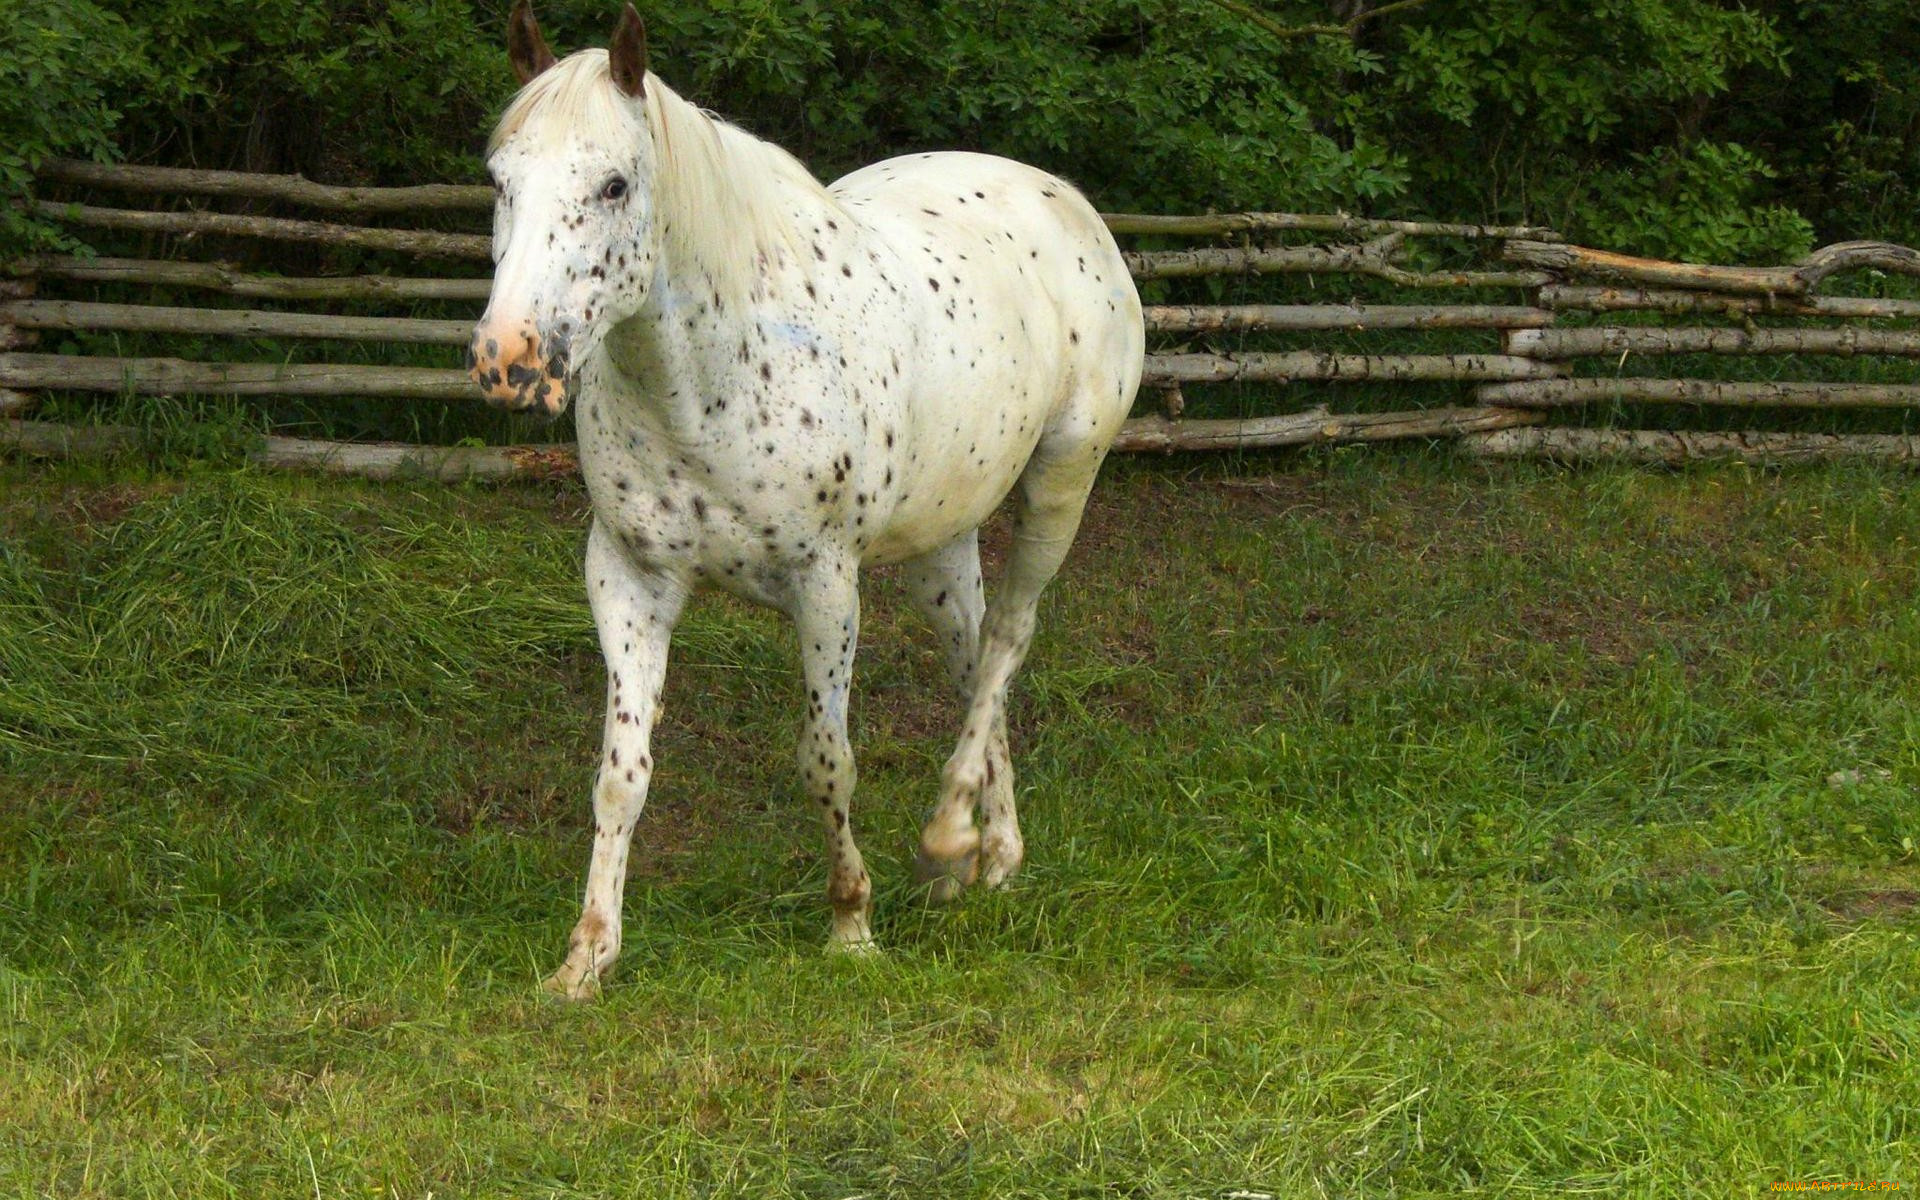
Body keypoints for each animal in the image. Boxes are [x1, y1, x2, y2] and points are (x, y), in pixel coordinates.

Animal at [472, 0, 1144, 998]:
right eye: (501, 180)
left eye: (614, 185)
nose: (509, 359)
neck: (709, 380)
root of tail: (1063, 198)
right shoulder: (628, 578)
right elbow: (621, 774)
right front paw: (586, 956)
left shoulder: (825, 582)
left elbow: (827, 761)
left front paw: (851, 926)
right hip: (942, 540)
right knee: (973, 659)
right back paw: (985, 860)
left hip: (1064, 480)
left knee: (1009, 641)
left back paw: (947, 837)